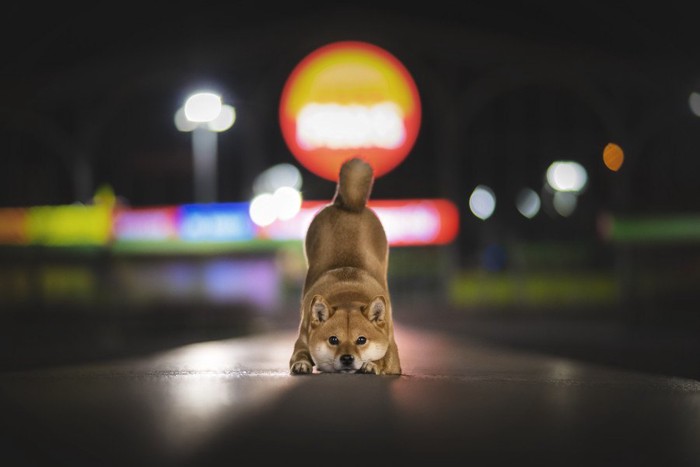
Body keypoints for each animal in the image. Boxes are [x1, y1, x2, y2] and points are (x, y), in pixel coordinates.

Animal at [288, 158, 400, 376]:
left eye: (361, 340)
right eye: (333, 340)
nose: (347, 358)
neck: (348, 294)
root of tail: (348, 205)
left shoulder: (392, 351)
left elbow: (383, 359)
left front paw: (372, 364)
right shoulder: (302, 339)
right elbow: (300, 354)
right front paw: (302, 364)